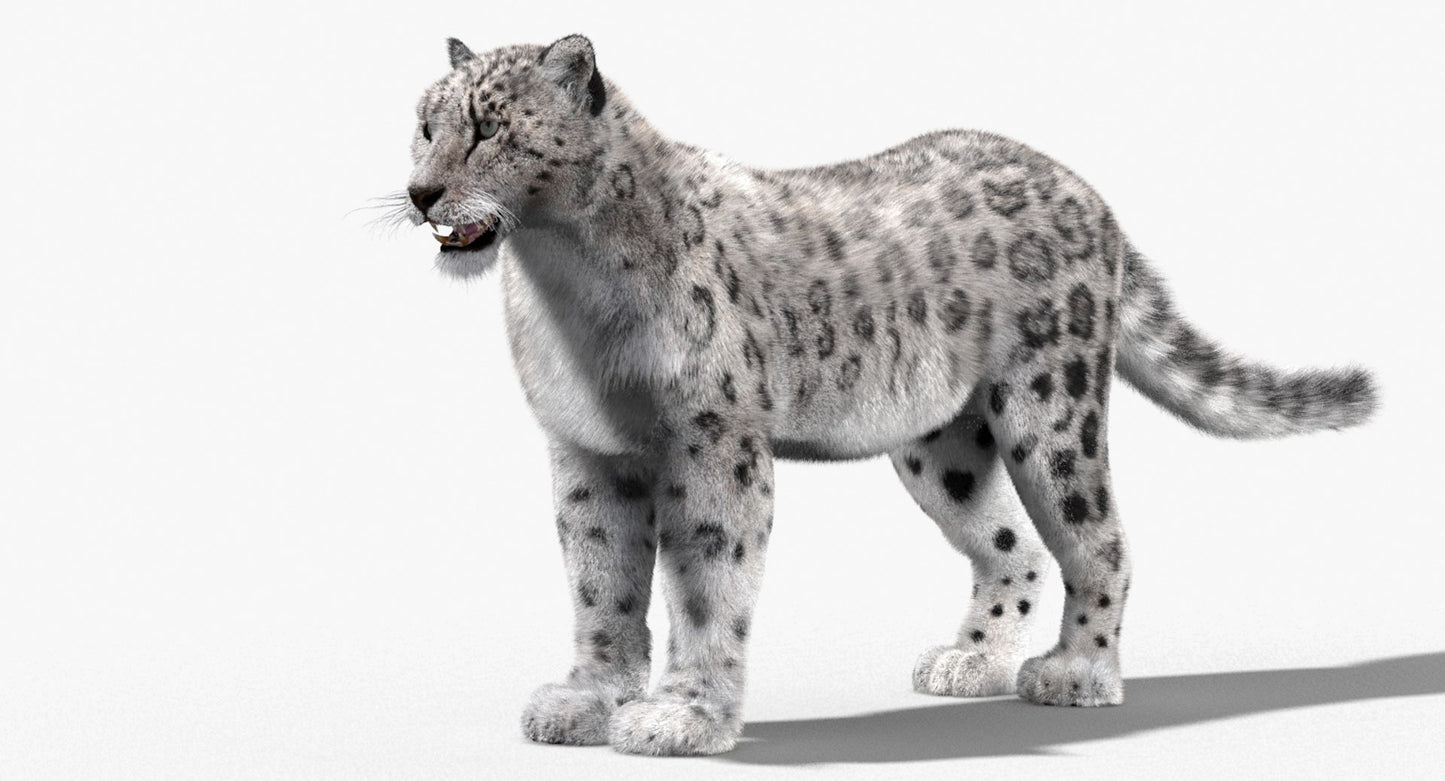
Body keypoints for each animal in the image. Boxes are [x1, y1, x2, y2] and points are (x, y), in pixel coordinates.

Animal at [389, 34, 1378, 756]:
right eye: (423, 124)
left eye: (486, 128)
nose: (420, 190)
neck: (561, 286)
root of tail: (1083, 189)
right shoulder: (586, 447)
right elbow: (598, 581)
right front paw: (587, 699)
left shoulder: (711, 439)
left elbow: (705, 583)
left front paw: (683, 716)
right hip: (938, 445)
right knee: (1011, 545)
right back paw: (968, 662)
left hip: (1050, 406)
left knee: (1096, 537)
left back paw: (1076, 673)